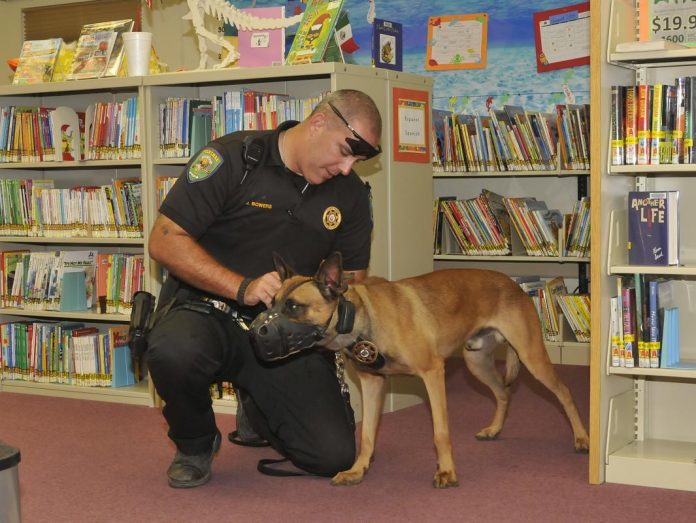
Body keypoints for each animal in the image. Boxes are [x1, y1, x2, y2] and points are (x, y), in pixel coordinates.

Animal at [250, 252, 588, 490]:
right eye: (271, 302)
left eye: (294, 307)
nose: (256, 331)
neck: (362, 318)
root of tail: (512, 284)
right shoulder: (373, 384)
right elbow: (368, 435)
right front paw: (359, 469)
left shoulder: (433, 374)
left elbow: (440, 432)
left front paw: (447, 471)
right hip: (476, 363)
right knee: (504, 393)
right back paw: (495, 429)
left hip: (532, 358)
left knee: (565, 393)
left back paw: (582, 439)